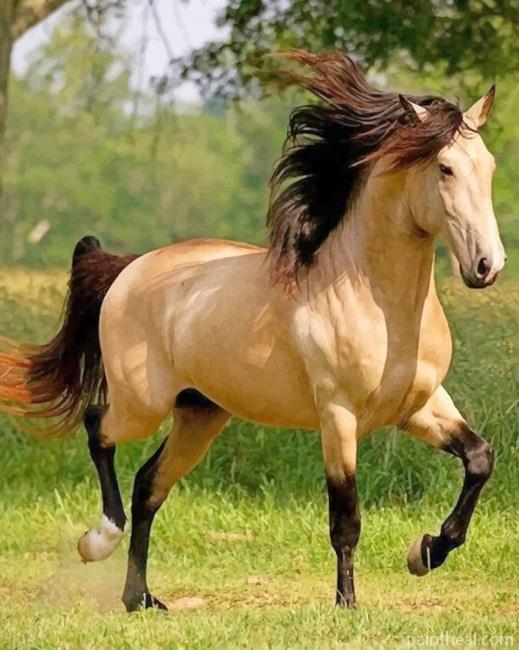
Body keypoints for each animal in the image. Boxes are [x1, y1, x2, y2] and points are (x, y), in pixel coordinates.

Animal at [0, 50, 506, 612]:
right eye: (444, 168)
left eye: (488, 166)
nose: (487, 266)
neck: (378, 304)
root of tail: (130, 269)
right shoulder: (339, 416)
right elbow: (345, 518)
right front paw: (347, 604)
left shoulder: (420, 406)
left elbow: (479, 459)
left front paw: (426, 551)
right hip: (142, 404)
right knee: (97, 427)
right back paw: (98, 541)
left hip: (200, 414)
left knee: (149, 484)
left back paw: (142, 598)